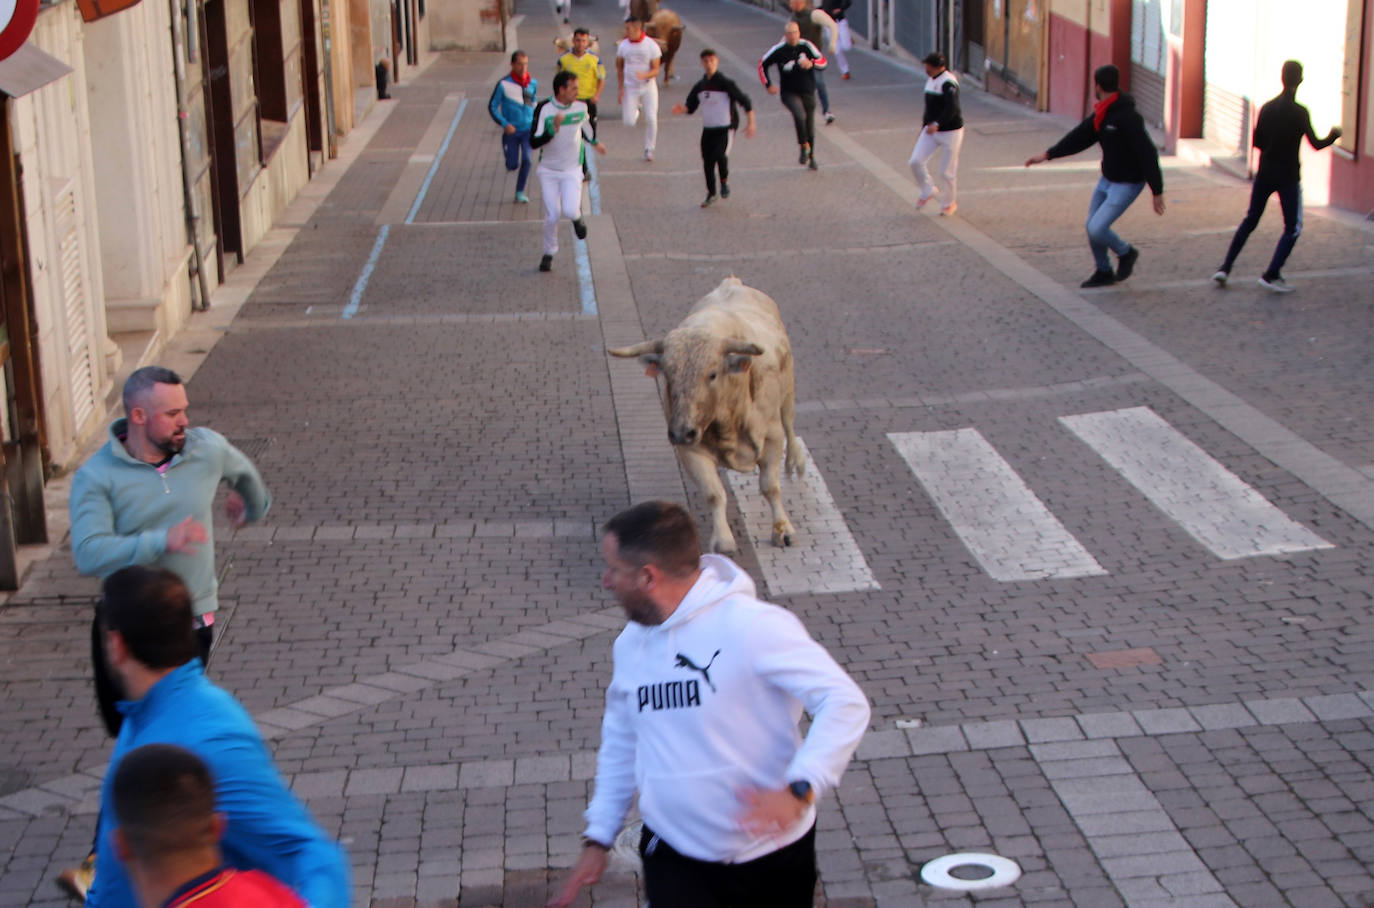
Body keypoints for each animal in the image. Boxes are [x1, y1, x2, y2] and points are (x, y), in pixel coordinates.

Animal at [610, 274, 802, 552]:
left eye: (712, 374)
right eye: (667, 374)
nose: (681, 431)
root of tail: (732, 282)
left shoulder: (772, 438)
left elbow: (770, 487)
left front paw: (783, 529)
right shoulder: (690, 449)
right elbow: (714, 493)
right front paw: (723, 540)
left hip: (788, 394)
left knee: (790, 425)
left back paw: (796, 462)